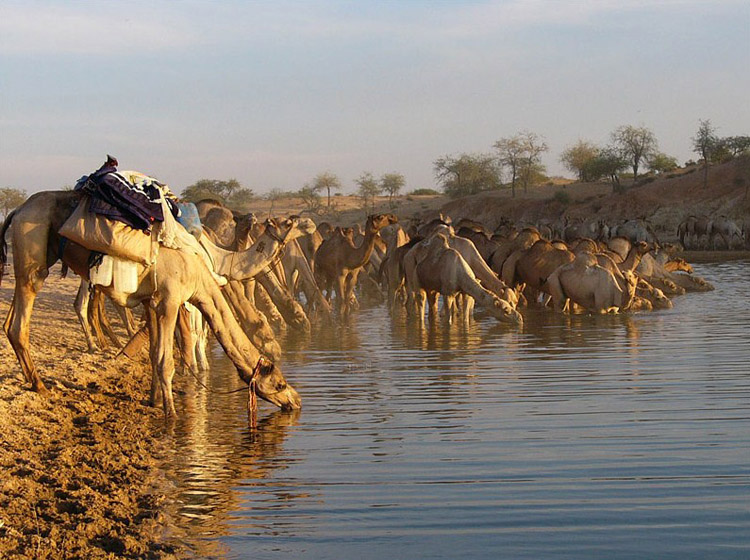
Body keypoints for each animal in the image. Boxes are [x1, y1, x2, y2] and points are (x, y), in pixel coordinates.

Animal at [3, 190, 302, 418]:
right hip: (33, 249)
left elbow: (154, 352)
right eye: (279, 383)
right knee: (23, 319)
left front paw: (153, 399)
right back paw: (40, 384)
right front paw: (171, 412)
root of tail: (17, 210)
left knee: (10, 321)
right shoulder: (171, 301)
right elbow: (168, 357)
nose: (297, 401)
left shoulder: (151, 301)